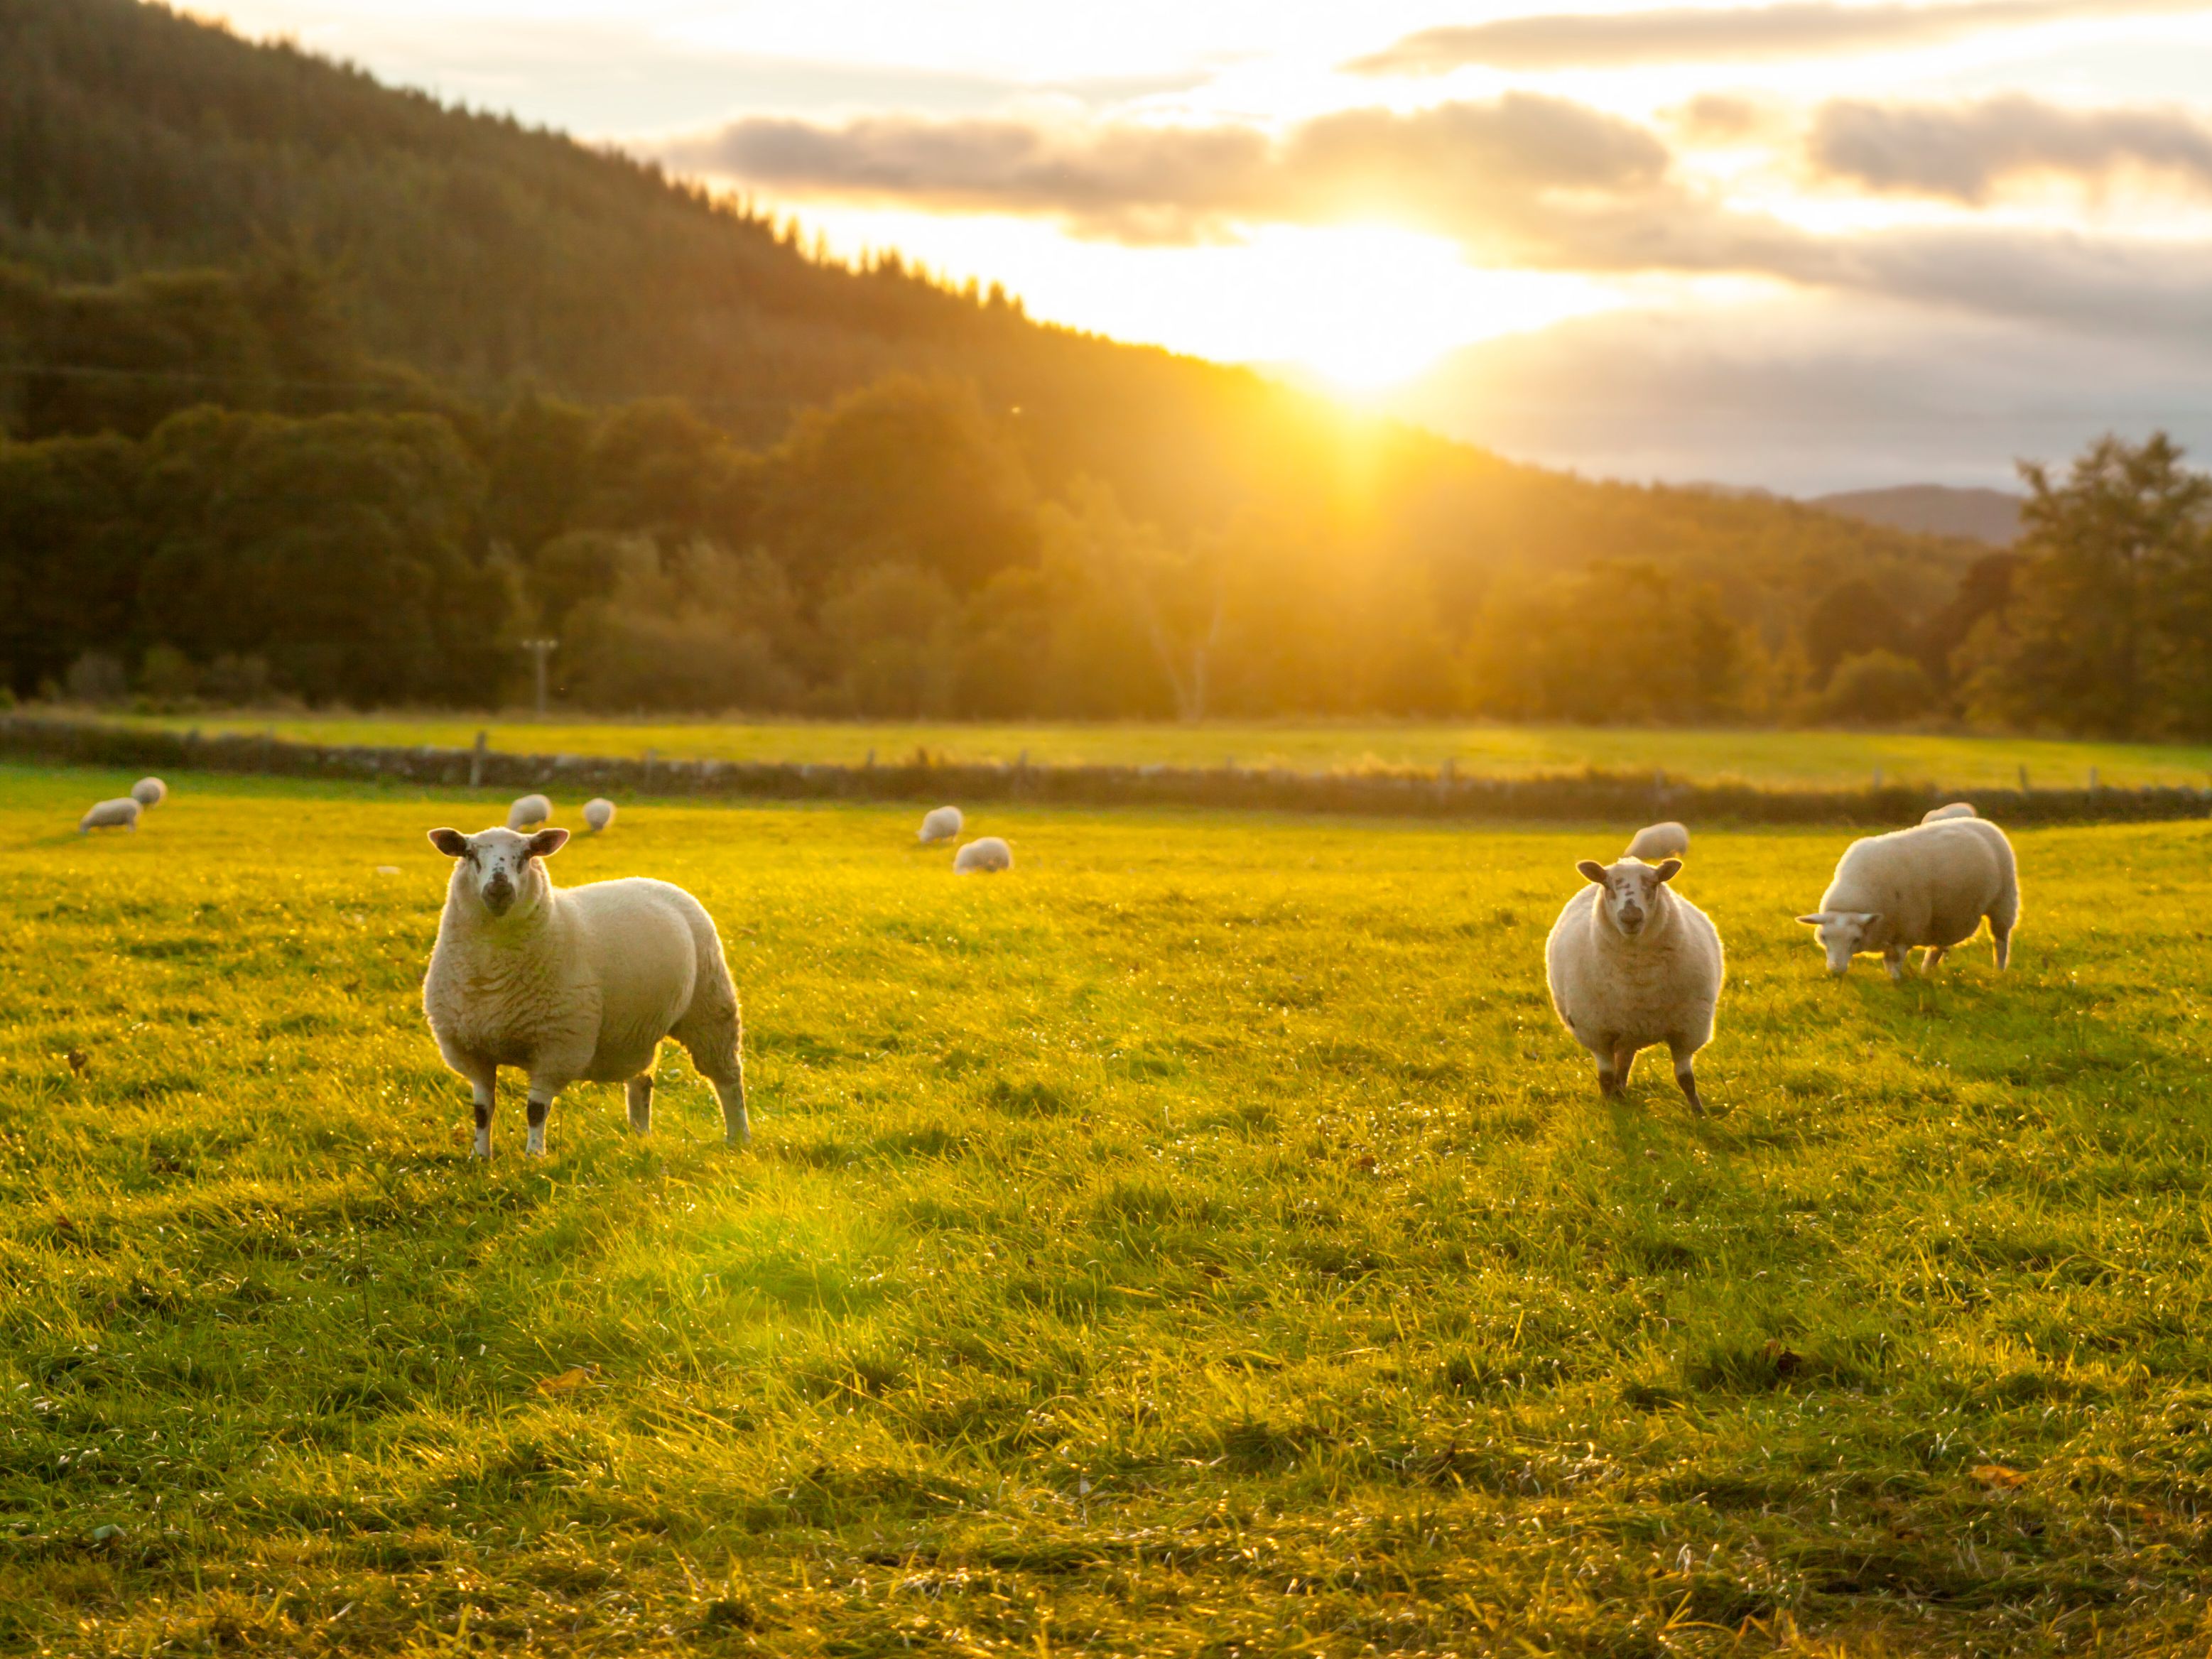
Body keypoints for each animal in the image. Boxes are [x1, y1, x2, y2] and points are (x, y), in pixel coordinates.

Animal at [423, 825, 747, 1158]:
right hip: (638, 1031)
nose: (499, 890)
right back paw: (640, 1136)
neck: (491, 976)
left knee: (727, 1078)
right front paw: (480, 1156)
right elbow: (482, 1110)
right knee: (642, 1082)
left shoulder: (557, 1046)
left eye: (527, 855)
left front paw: (534, 1156)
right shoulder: (470, 1050)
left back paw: (738, 1138)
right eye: (469, 854)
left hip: (710, 1008)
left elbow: (535, 1110)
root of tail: (653, 881)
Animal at [1545, 856, 1723, 1114]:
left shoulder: (1688, 1029)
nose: (1630, 917)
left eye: (1654, 883)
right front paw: (1612, 1110)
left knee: (1625, 1061)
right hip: (1621, 1028)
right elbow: (1605, 1078)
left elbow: (1686, 1079)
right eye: (1607, 884)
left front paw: (1699, 1113)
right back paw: (1618, 1095)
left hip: (1631, 1031)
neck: (1638, 980)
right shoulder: (1597, 1032)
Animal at [1797, 817, 2018, 980]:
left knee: (2000, 941)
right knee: (1937, 947)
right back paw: (1926, 971)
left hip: (2003, 902)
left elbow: (1894, 958)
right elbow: (1889, 958)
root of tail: (1983, 822)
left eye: (1856, 939)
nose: (1835, 972)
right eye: (1824, 937)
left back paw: (1999, 971)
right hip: (1943, 916)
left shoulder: (1906, 927)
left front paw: (1895, 980)